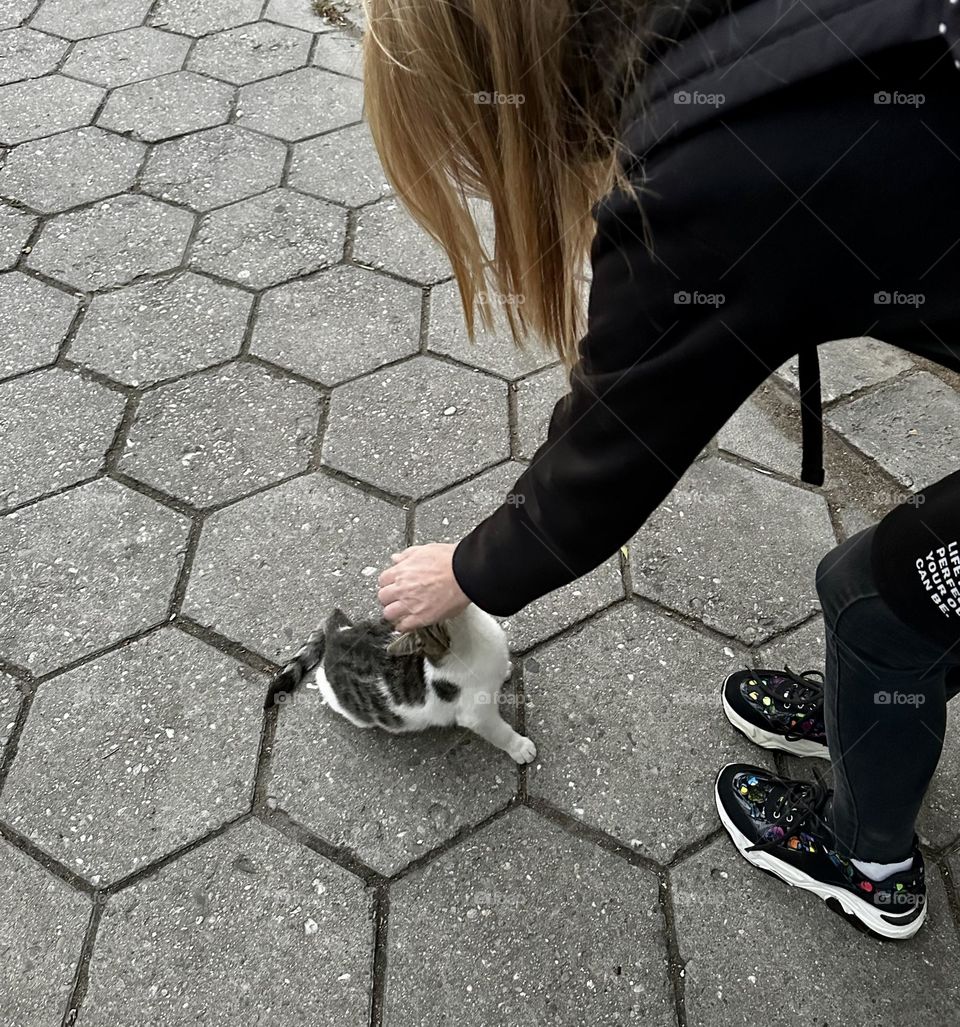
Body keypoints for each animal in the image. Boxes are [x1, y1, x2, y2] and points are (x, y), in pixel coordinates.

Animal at [262, 599, 538, 764]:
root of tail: (337, 634)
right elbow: (500, 731)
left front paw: (506, 671)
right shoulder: (476, 714)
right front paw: (519, 747)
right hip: (346, 702)